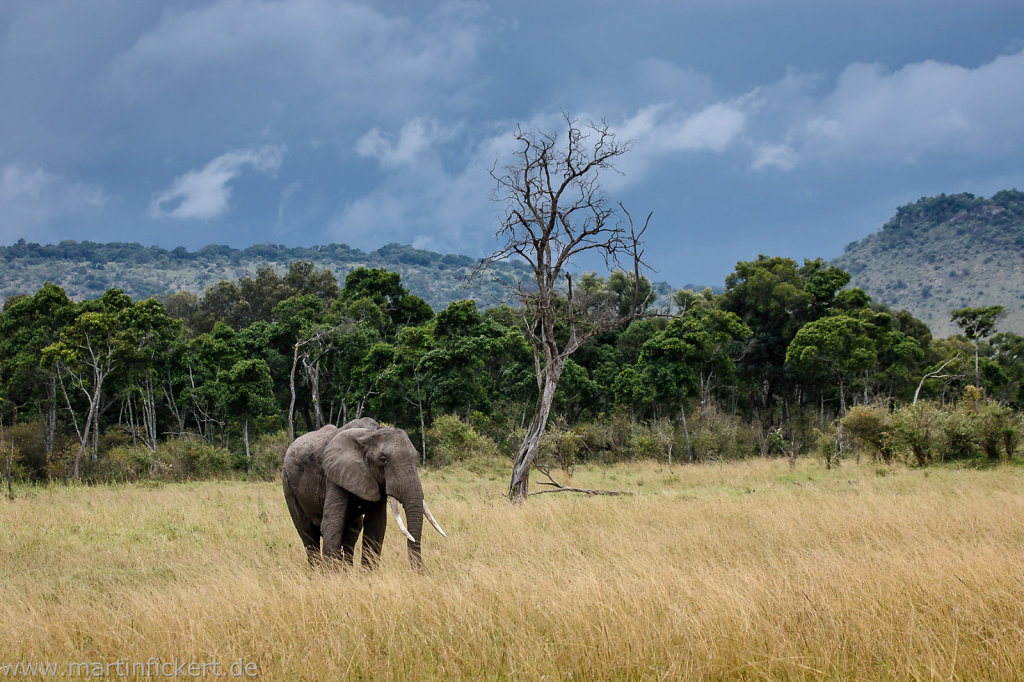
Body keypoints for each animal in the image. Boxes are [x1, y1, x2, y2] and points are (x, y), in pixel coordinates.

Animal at [280, 413, 444, 569]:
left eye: (416, 458)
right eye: (383, 460)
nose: (426, 571)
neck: (369, 434)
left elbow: (376, 525)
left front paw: (367, 574)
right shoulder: (334, 473)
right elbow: (332, 523)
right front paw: (331, 575)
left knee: (352, 530)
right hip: (287, 483)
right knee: (307, 532)